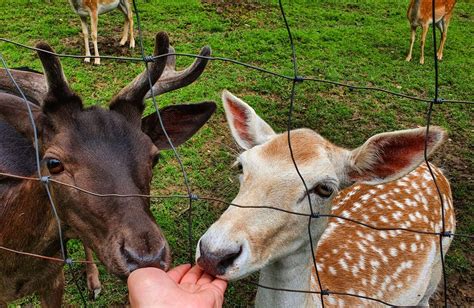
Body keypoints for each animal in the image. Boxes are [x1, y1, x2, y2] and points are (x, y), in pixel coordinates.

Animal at [195, 90, 456, 306]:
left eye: (324, 188)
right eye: (241, 165)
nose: (213, 254)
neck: (324, 297)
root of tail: (432, 168)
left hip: (437, 266)